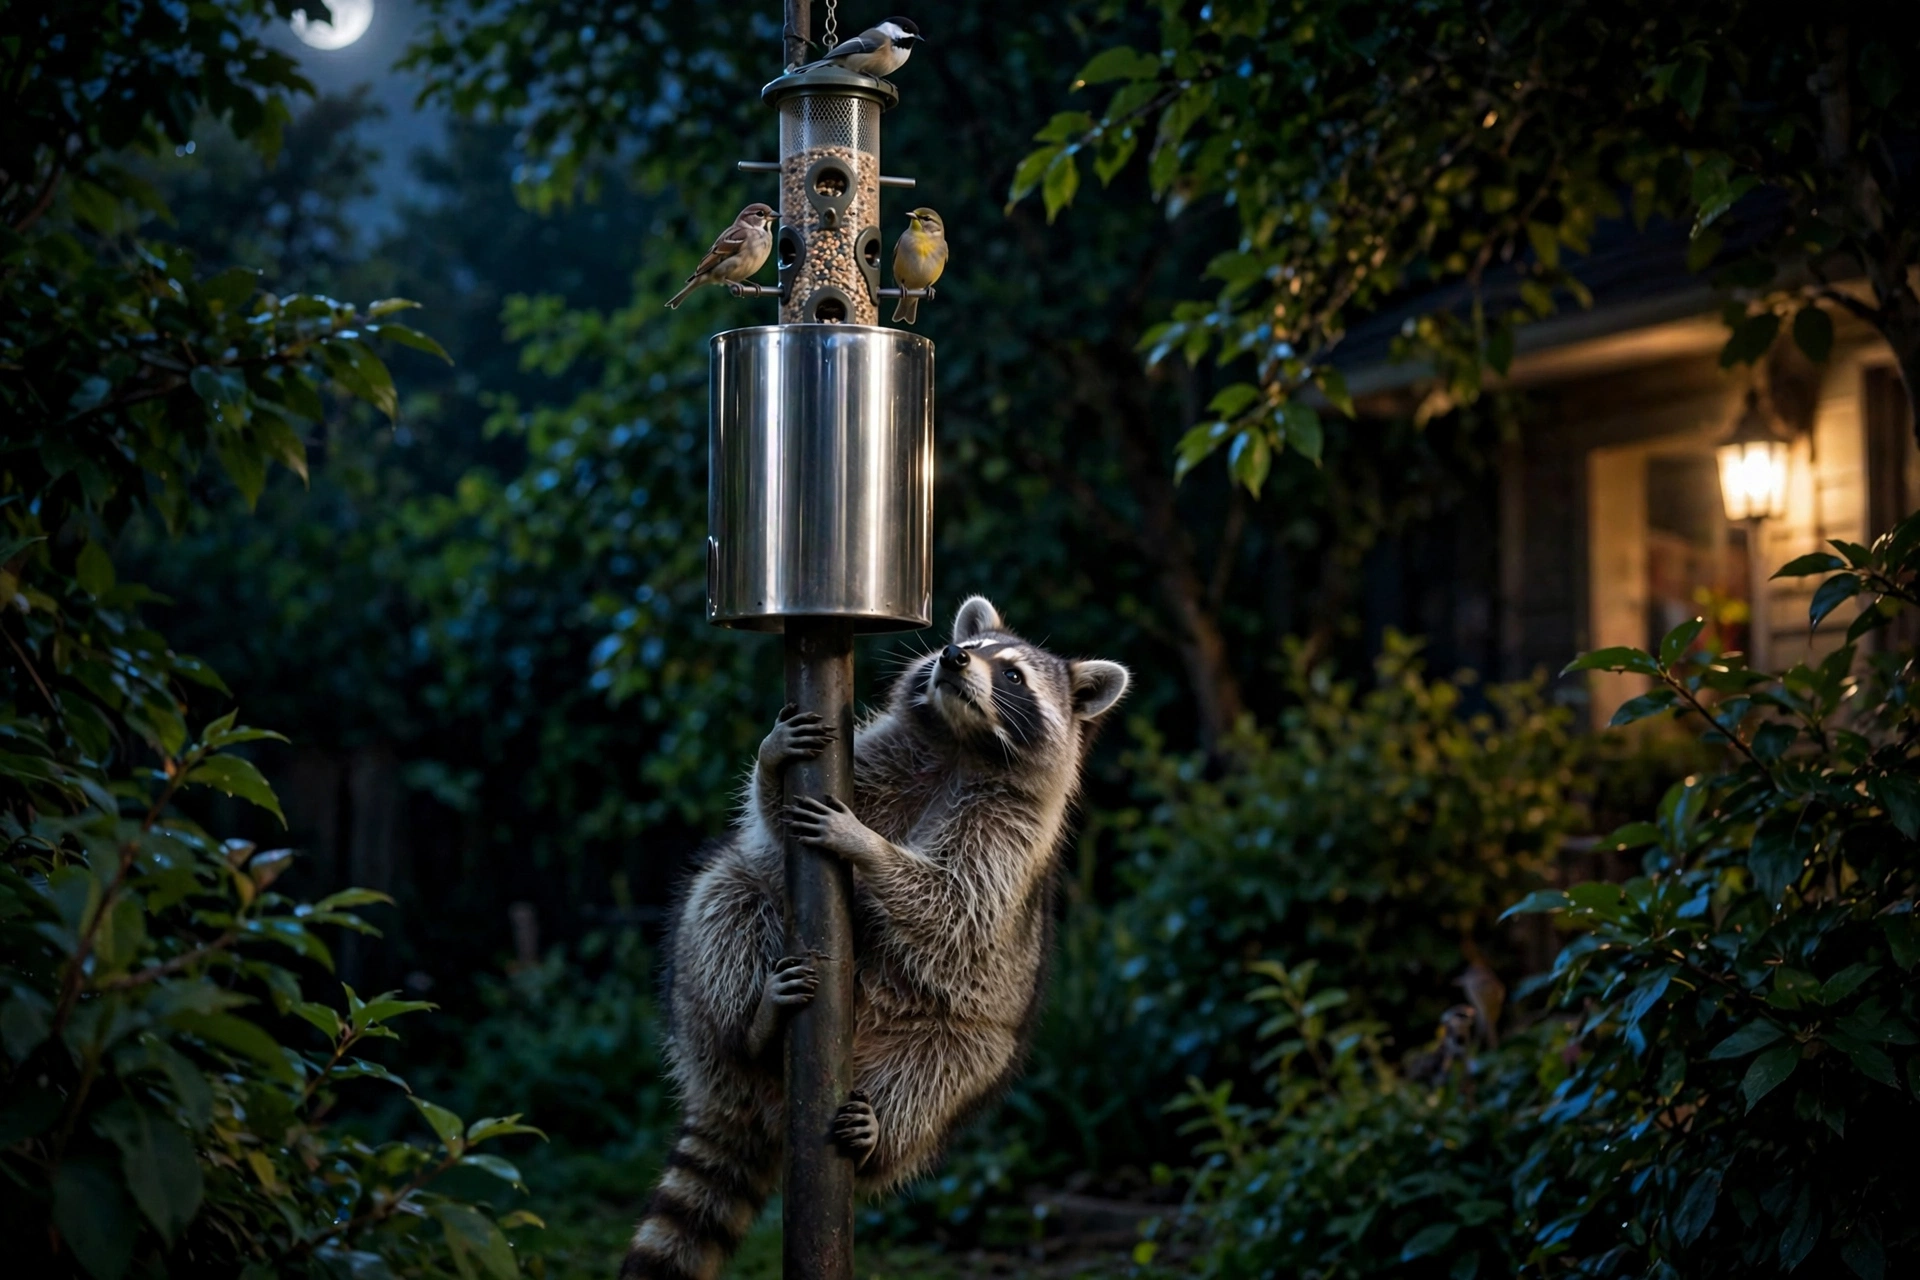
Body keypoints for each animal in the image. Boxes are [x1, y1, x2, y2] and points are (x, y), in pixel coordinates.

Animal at [622, 596, 1130, 1280]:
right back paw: (750, 1026)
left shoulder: (1008, 837)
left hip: (980, 1043)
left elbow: (954, 905)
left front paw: (869, 847)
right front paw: (772, 761)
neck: (959, 743)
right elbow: (773, 823)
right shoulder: (878, 756)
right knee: (727, 896)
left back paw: (880, 1133)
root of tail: (753, 1106)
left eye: (1014, 675)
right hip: (703, 970)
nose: (954, 655)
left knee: (945, 1069)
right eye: (969, 647)